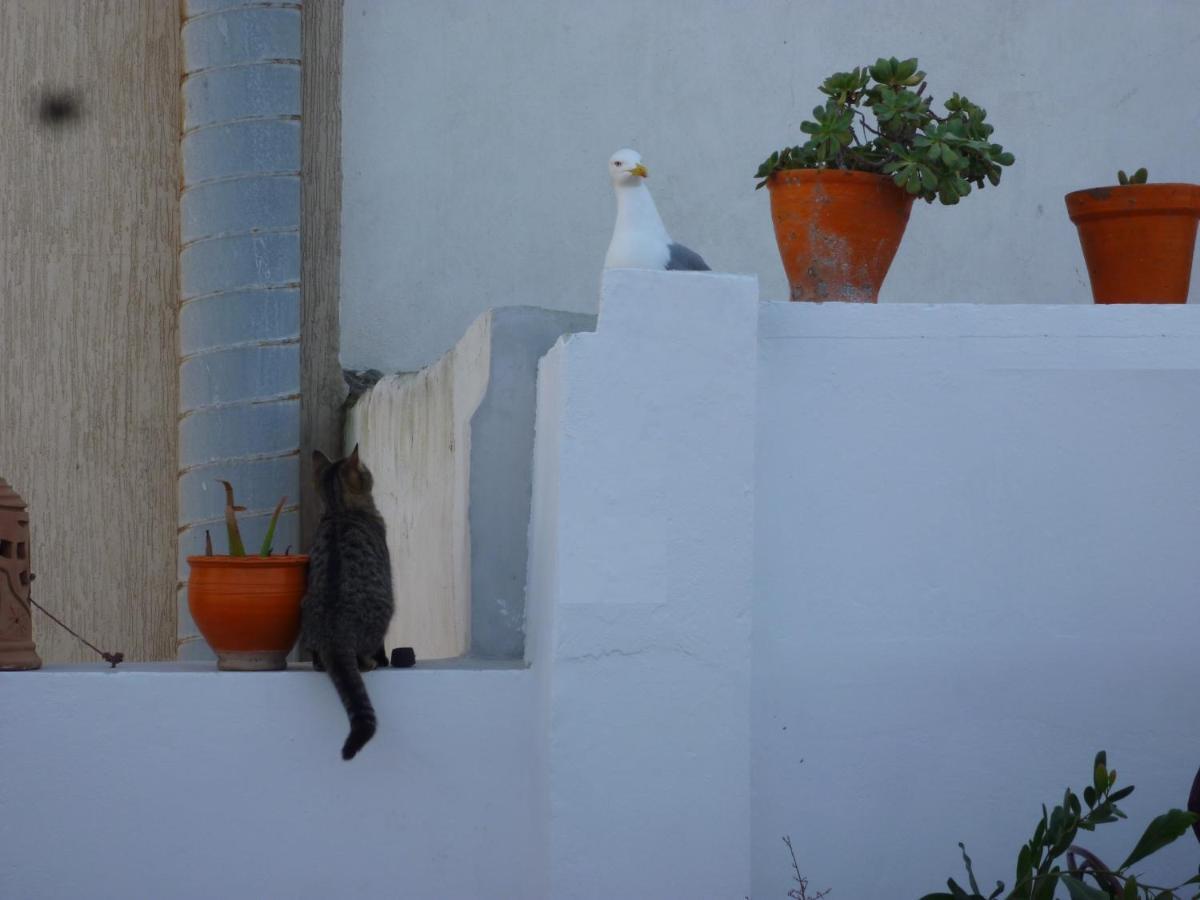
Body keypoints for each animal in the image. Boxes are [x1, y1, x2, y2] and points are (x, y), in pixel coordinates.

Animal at [300, 446, 393, 763]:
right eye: (364, 469)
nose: (370, 470)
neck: (340, 510)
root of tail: (334, 634)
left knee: (318, 660)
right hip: (383, 614)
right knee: (365, 655)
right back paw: (372, 662)